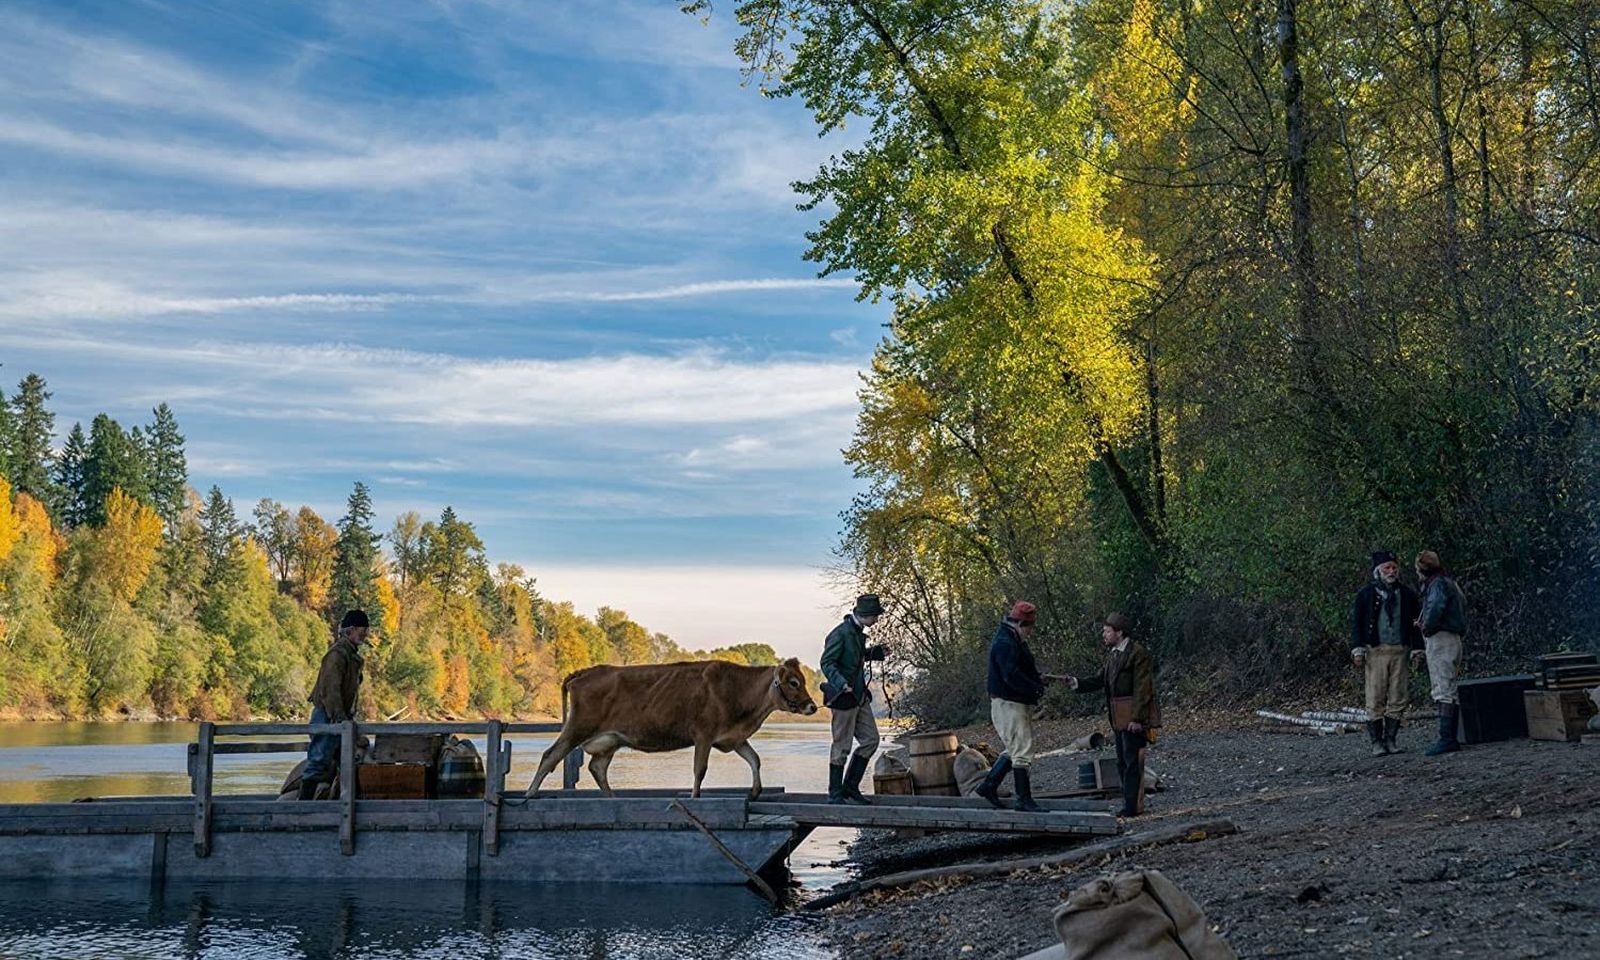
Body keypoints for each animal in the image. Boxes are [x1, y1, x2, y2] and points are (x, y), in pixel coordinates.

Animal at [526, 658, 818, 800]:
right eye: (793, 682)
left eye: (802, 680)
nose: (812, 706)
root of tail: (585, 671)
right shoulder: (703, 734)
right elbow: (700, 770)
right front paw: (694, 797)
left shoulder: (733, 738)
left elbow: (755, 760)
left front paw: (756, 792)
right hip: (578, 726)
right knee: (550, 755)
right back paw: (530, 794)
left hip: (609, 740)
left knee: (597, 768)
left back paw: (612, 798)